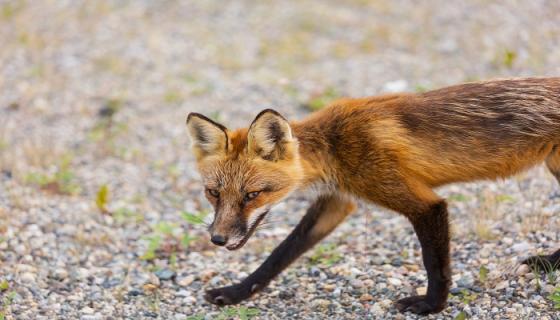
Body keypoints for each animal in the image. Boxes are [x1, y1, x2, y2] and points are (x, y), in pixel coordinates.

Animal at [186, 77, 560, 316]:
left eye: (252, 194)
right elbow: (279, 255)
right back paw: (551, 263)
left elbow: (434, 262)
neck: (334, 147)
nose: (217, 239)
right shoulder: (338, 201)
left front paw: (431, 306)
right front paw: (235, 292)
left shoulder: (423, 204)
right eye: (213, 193)